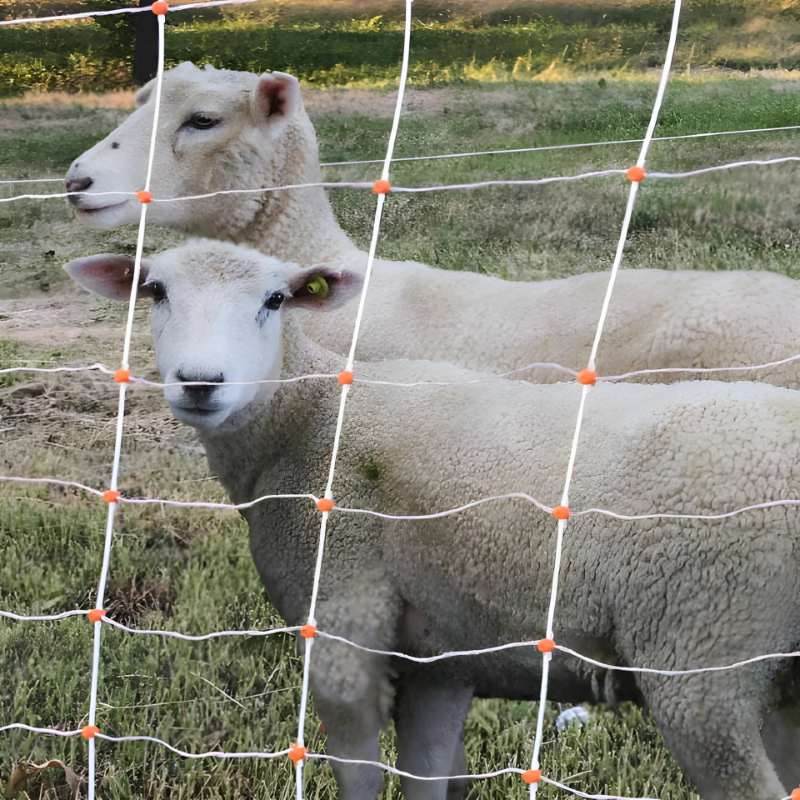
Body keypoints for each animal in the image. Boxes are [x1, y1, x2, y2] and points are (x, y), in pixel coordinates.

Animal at [64, 240, 800, 800]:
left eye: (274, 301)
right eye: (155, 292)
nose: (200, 381)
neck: (309, 419)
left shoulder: (345, 617)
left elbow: (360, 775)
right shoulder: (439, 658)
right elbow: (430, 776)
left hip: (706, 659)